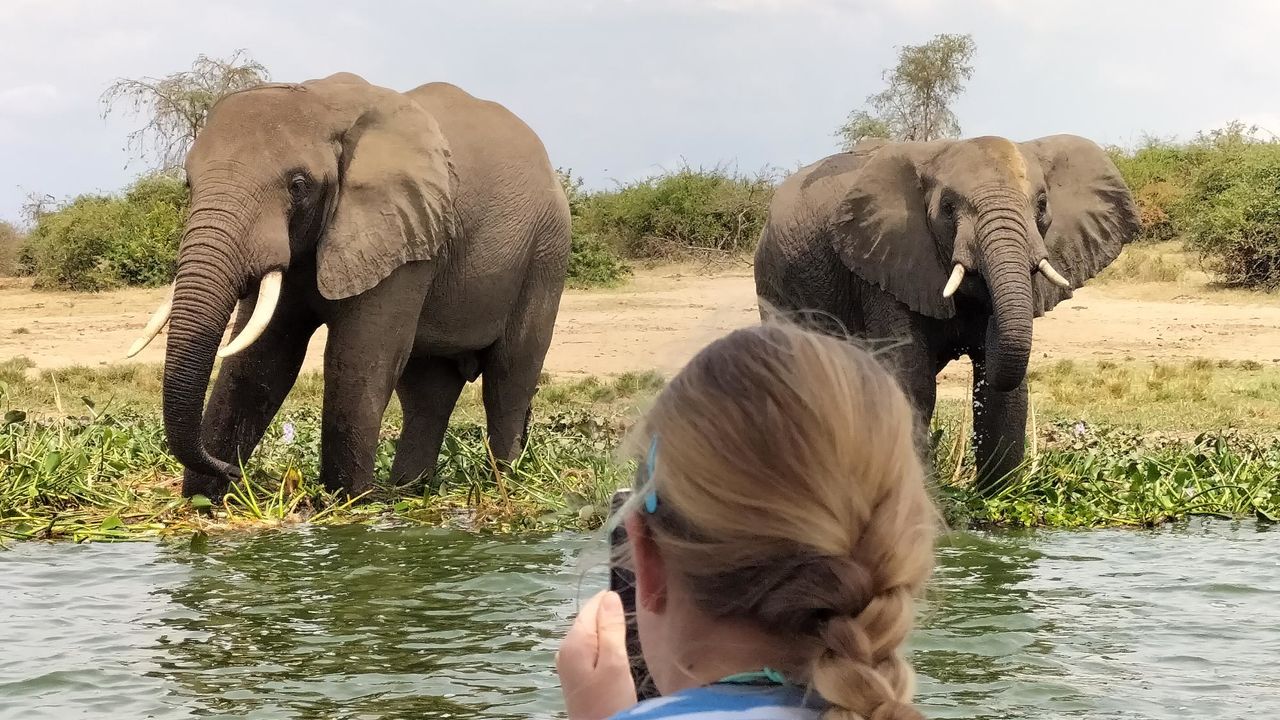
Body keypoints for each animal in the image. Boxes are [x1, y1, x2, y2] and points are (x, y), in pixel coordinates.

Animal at [128, 73, 570, 499]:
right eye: (188, 184)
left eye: (299, 185)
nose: (235, 472)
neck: (323, 103)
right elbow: (259, 363)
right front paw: (203, 502)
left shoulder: (403, 235)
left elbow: (357, 359)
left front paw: (348, 504)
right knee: (427, 390)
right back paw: (408, 492)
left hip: (546, 252)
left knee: (509, 375)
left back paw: (503, 483)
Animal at [752, 133, 1136, 491]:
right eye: (948, 208)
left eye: (1041, 205)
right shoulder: (883, 263)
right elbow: (912, 379)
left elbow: (1004, 392)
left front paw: (996, 498)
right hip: (773, 282)